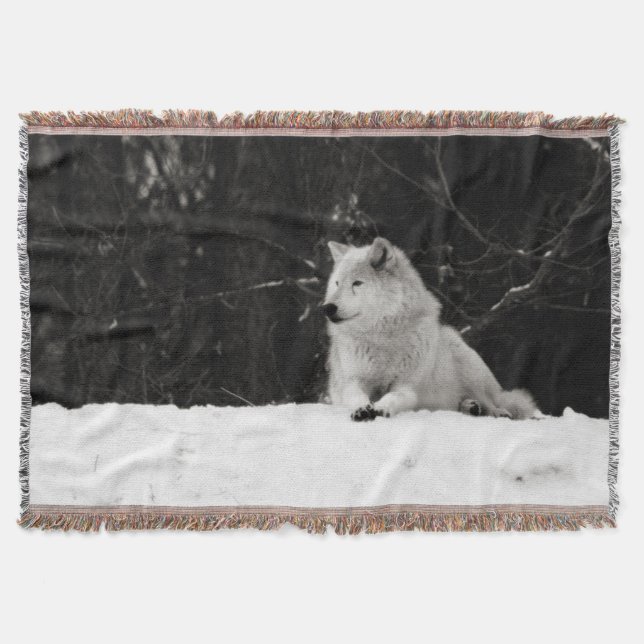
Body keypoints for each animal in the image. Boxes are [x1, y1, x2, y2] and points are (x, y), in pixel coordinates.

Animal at [323, 237, 536, 422]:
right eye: (337, 283)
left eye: (357, 283)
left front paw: (381, 408)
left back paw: (494, 411)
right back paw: (471, 407)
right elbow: (355, 396)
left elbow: (393, 397)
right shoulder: (352, 381)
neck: (382, 338)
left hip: (468, 366)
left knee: (490, 401)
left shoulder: (406, 386)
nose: (327, 308)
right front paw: (361, 409)